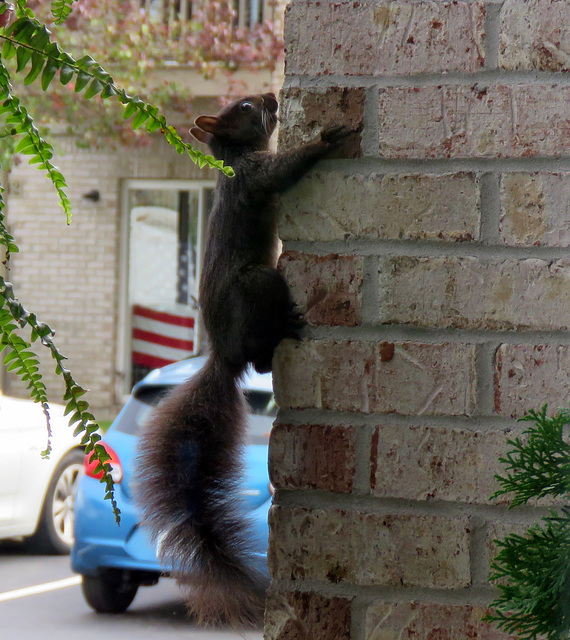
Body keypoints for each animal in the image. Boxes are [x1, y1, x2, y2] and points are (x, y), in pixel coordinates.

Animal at [134, 92, 350, 628]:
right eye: (249, 107)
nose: (272, 96)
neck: (231, 159)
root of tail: (224, 355)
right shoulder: (256, 176)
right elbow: (286, 169)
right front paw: (326, 140)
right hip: (260, 283)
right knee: (262, 351)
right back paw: (286, 328)